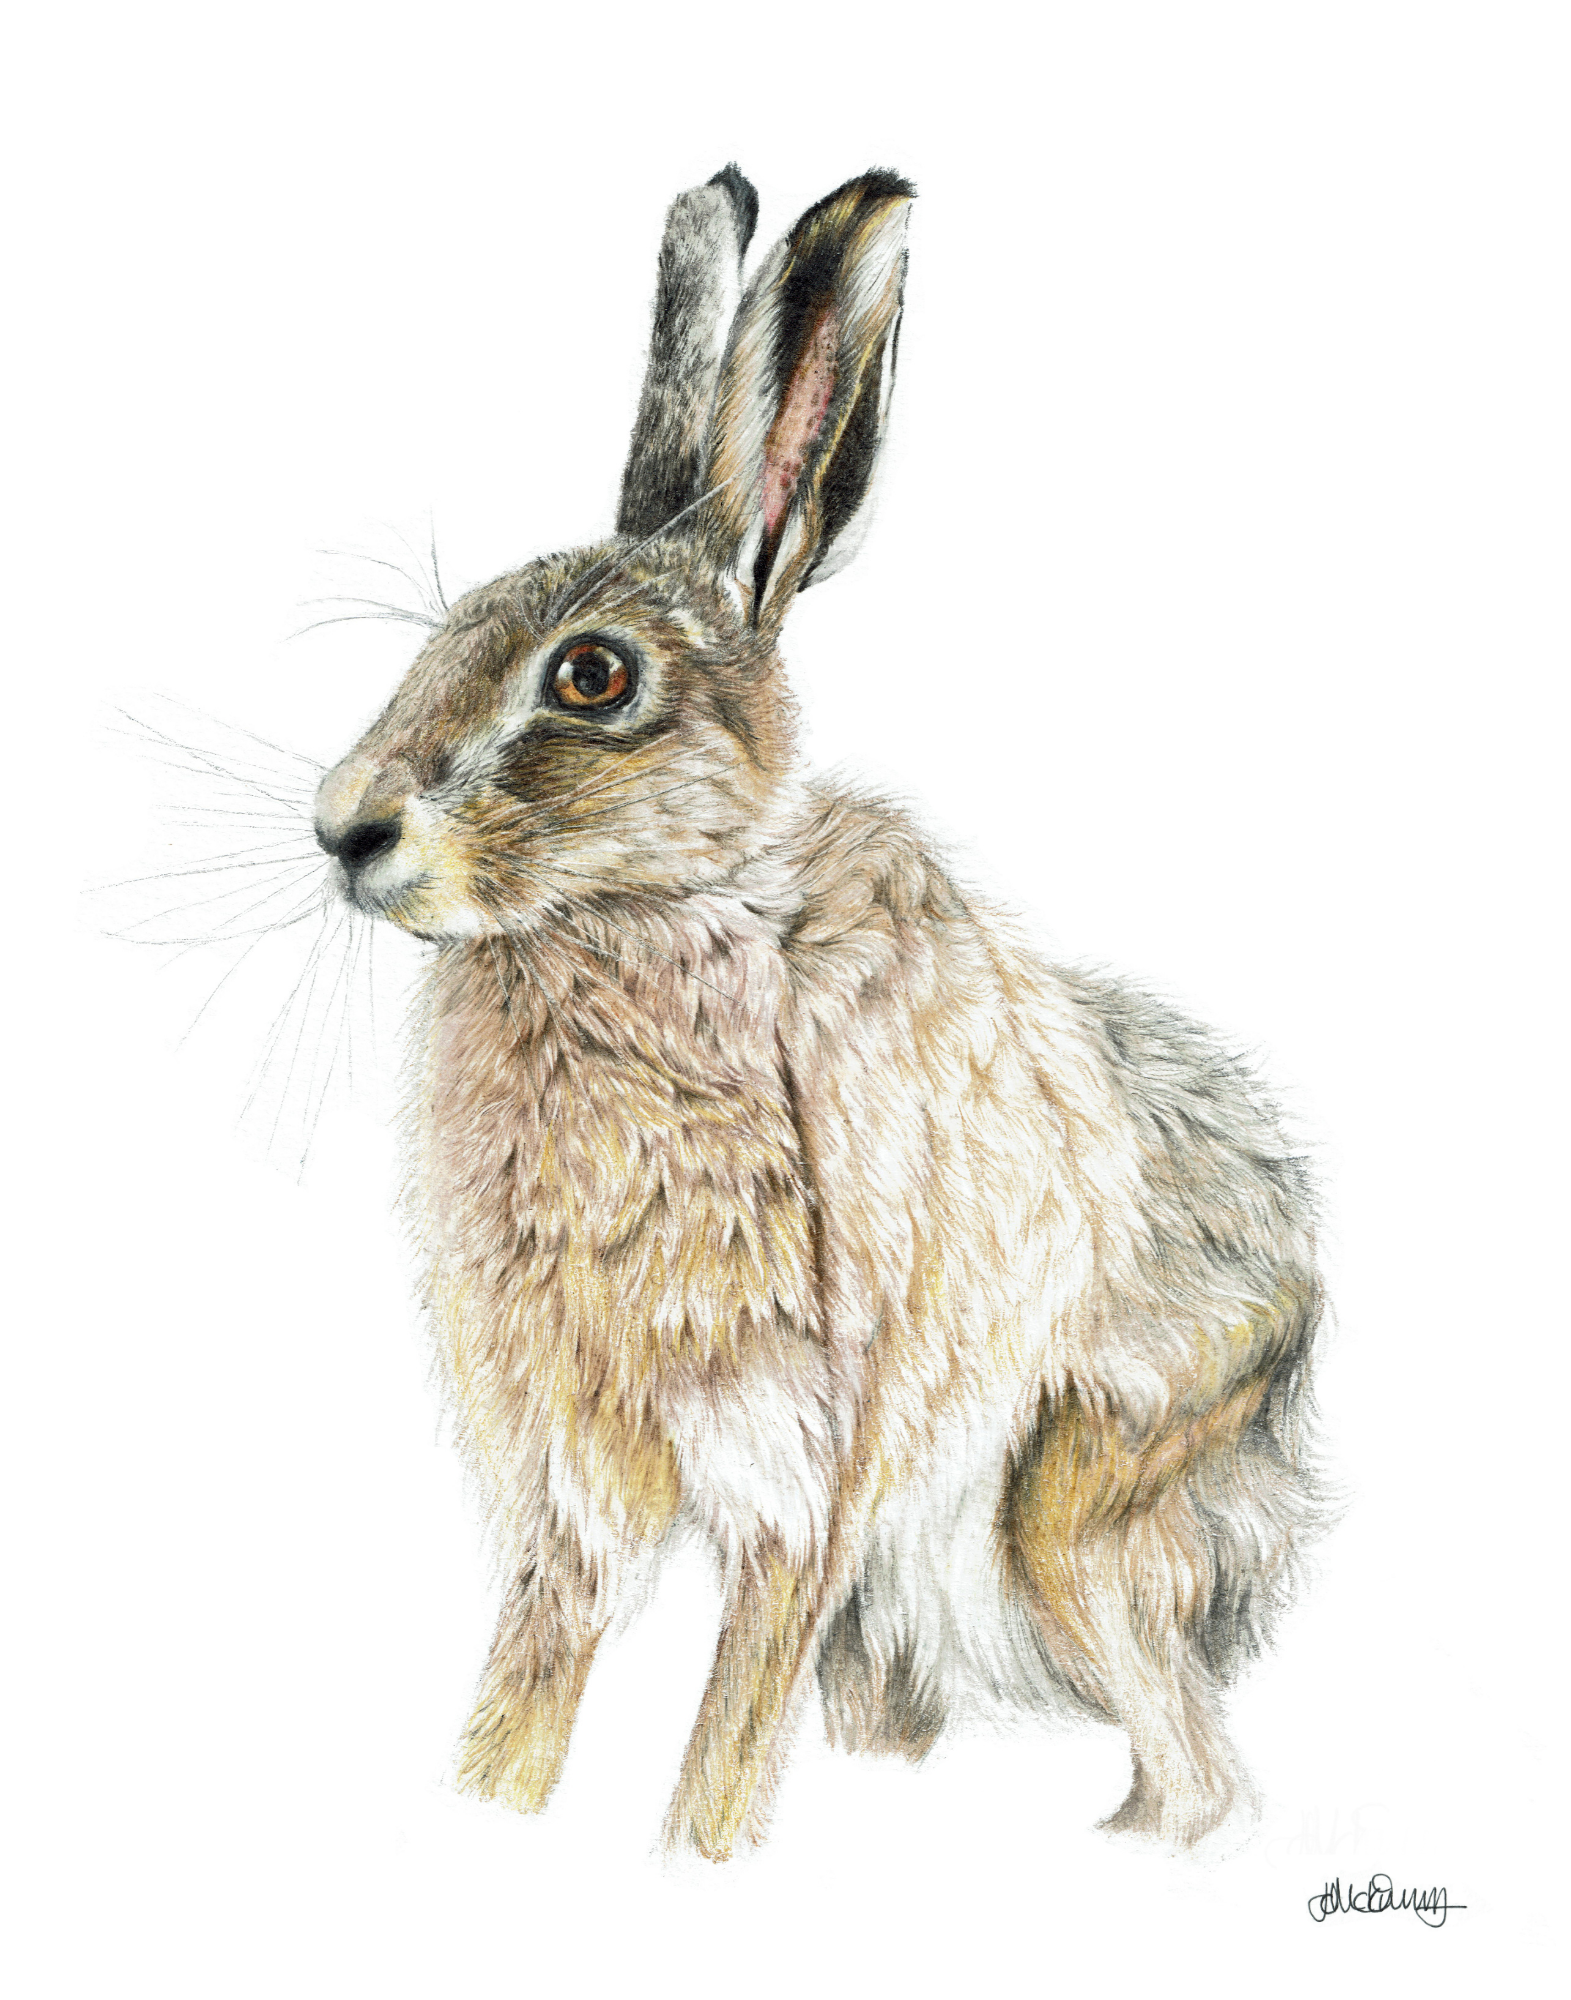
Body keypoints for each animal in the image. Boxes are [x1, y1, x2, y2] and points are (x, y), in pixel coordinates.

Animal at [311, 164, 1323, 1860]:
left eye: (591, 678)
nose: (344, 829)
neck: (632, 930)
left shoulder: (807, 1468)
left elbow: (726, 1744)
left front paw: (697, 1857)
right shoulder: (576, 1470)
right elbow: (532, 1679)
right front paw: (489, 1803)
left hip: (1071, 1512)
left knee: (1192, 1773)